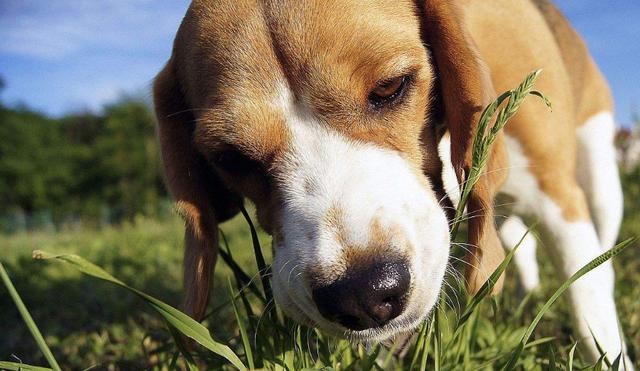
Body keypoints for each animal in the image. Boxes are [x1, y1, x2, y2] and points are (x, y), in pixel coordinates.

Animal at [154, 0, 632, 366]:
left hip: (600, 179)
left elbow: (589, 299)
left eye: (389, 87)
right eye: (230, 157)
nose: (361, 295)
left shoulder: (558, 197)